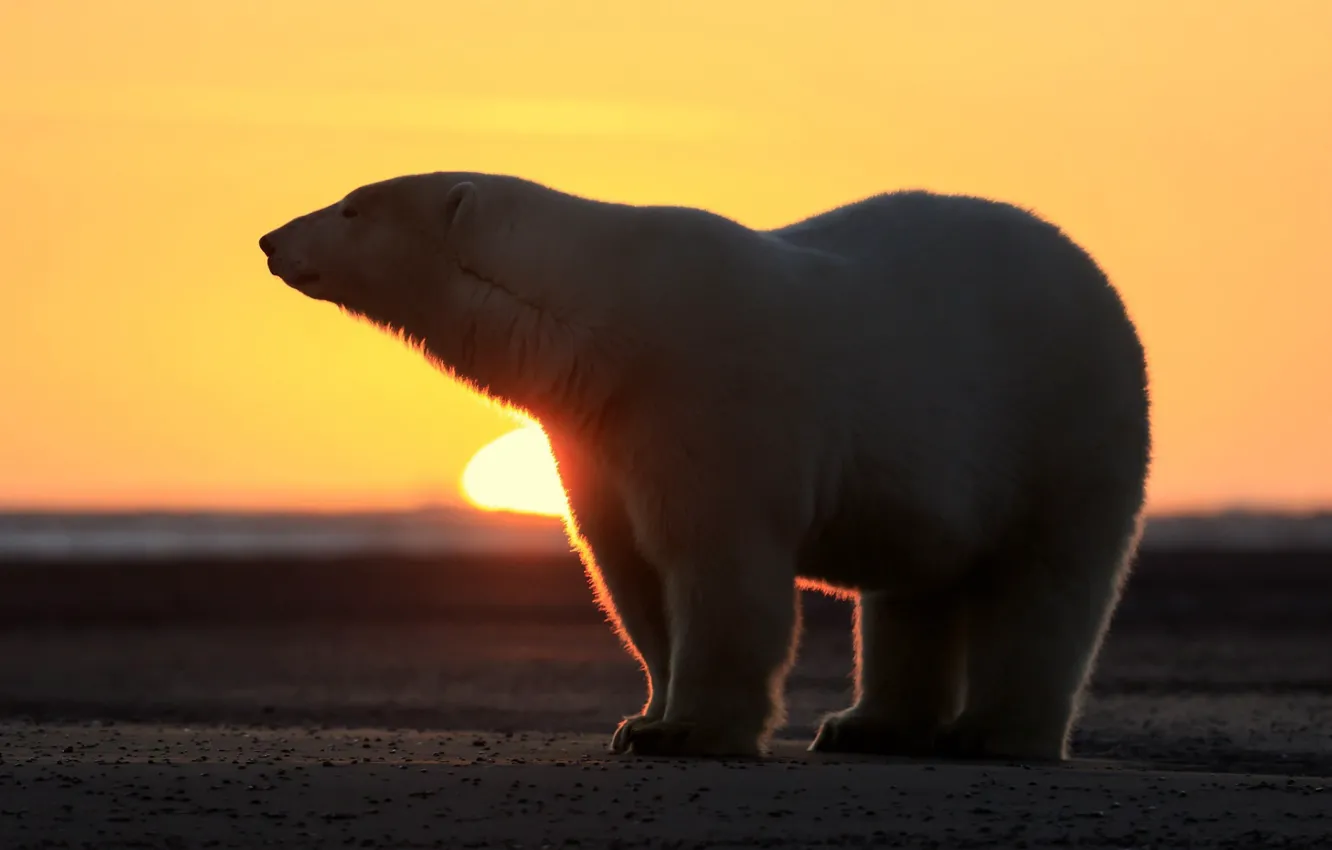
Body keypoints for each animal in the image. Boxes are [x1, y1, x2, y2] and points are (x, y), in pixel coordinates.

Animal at [262, 173, 1156, 767]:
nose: (270, 240)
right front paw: (642, 718)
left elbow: (718, 565)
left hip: (1064, 420)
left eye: (349, 206)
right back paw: (867, 725)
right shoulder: (597, 431)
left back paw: (996, 732)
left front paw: (689, 732)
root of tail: (1097, 276)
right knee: (914, 586)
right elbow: (628, 570)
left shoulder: (706, 392)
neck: (606, 318)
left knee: (1049, 581)